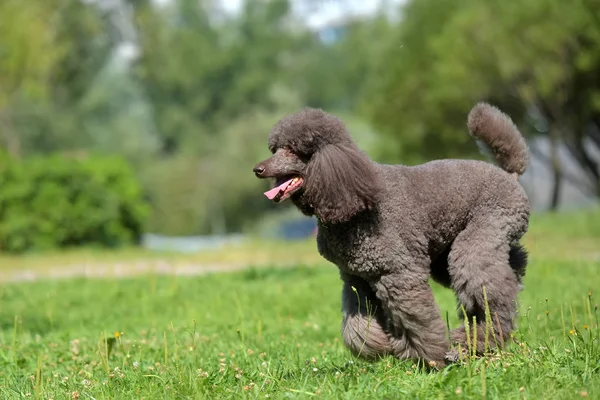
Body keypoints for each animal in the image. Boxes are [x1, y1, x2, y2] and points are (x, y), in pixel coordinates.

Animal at [253, 104, 528, 368]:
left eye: (292, 149)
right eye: (275, 148)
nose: (258, 168)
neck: (354, 201)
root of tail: (510, 175)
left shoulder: (398, 273)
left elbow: (415, 318)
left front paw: (431, 359)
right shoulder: (358, 279)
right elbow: (357, 325)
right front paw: (385, 348)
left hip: (477, 238)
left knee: (488, 293)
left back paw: (474, 343)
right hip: (454, 253)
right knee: (509, 273)